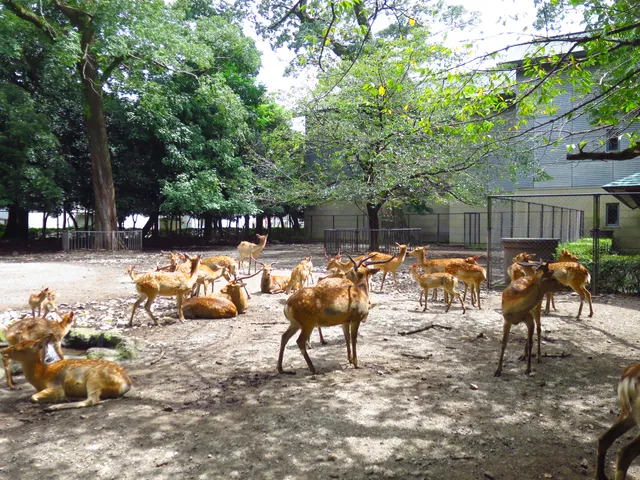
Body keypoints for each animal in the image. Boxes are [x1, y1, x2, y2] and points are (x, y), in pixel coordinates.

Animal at [1, 334, 131, 411]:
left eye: (19, 348)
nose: (3, 350)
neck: (41, 376)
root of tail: (126, 384)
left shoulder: (55, 386)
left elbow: (33, 397)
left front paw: (57, 400)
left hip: (94, 378)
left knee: (92, 400)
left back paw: (54, 406)